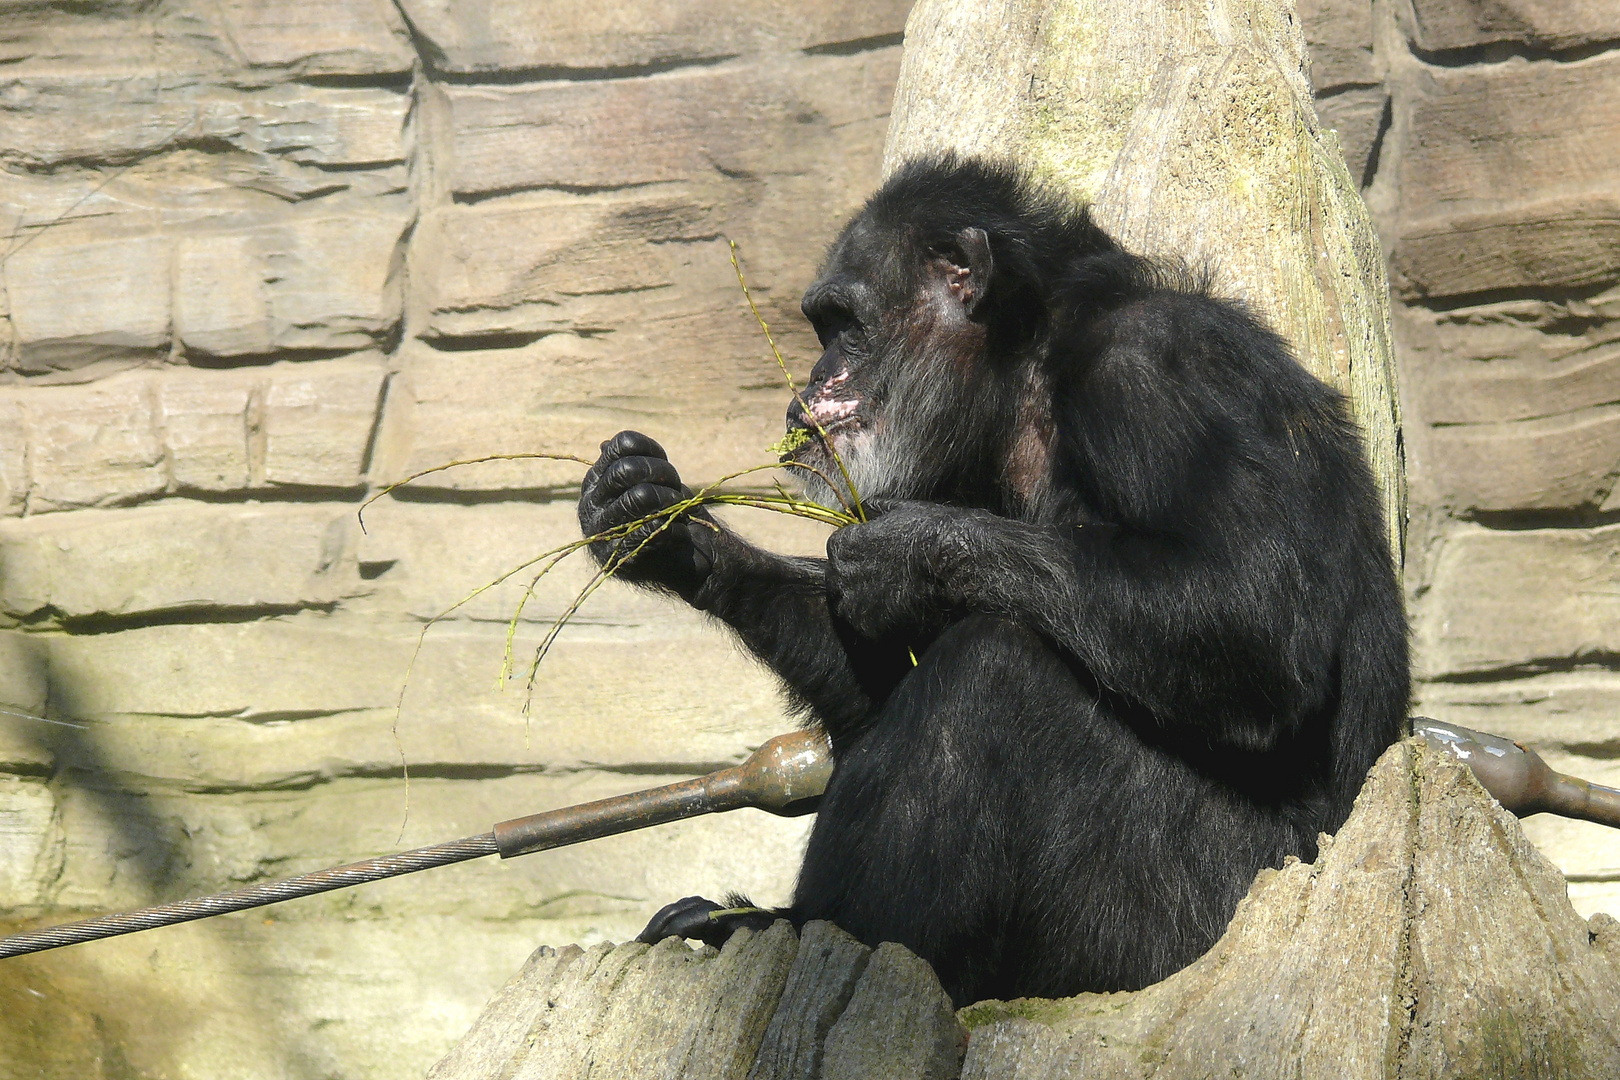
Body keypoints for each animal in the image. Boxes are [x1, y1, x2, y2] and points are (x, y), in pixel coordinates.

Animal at [576, 156, 1412, 1010]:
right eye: (822, 329)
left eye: (844, 323)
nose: (813, 377)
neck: (1025, 374)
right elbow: (877, 680)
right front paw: (660, 522)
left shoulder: (1159, 373)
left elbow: (1255, 610)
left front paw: (903, 552)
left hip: (1181, 927)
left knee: (996, 668)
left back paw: (802, 931)